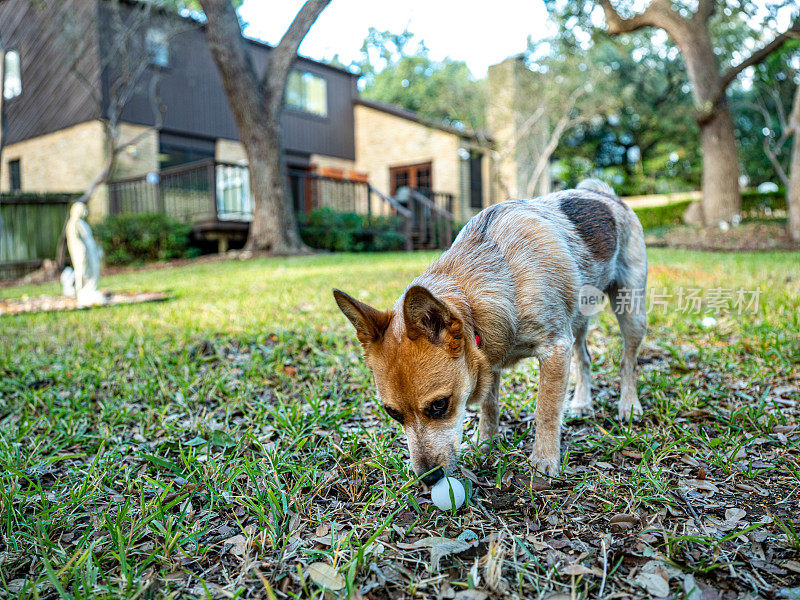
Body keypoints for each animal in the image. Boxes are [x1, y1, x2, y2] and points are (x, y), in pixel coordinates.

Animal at [334, 179, 648, 488]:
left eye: (439, 405)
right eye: (392, 413)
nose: (429, 479)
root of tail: (602, 193)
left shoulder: (556, 348)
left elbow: (546, 410)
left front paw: (544, 459)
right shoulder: (488, 357)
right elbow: (489, 406)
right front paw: (485, 444)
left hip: (631, 312)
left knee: (627, 362)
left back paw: (628, 404)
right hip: (579, 322)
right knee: (585, 359)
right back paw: (582, 402)